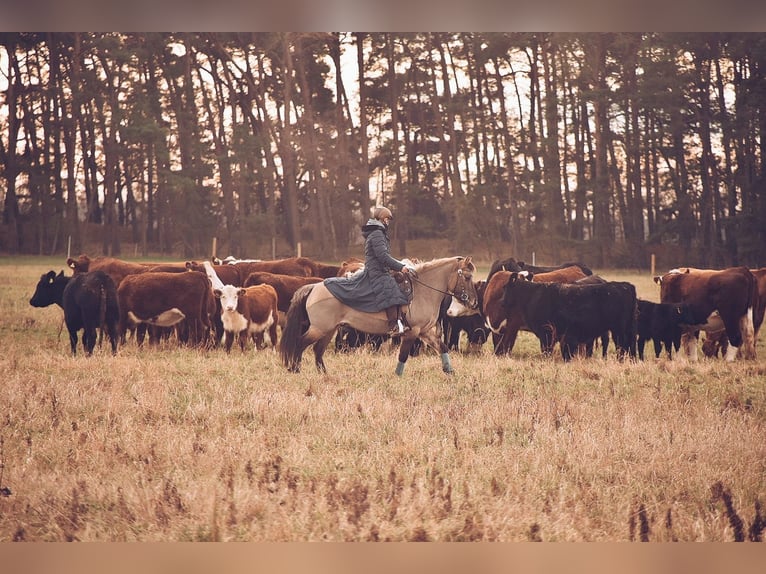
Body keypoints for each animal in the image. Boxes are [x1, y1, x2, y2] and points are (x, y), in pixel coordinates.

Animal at [279, 256, 479, 376]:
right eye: (468, 277)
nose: (474, 302)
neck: (423, 291)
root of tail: (314, 287)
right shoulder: (412, 332)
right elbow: (403, 355)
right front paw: (397, 377)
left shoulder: (425, 332)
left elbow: (442, 347)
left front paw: (449, 371)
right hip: (319, 329)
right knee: (300, 343)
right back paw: (295, 369)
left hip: (328, 330)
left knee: (317, 351)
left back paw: (324, 374)